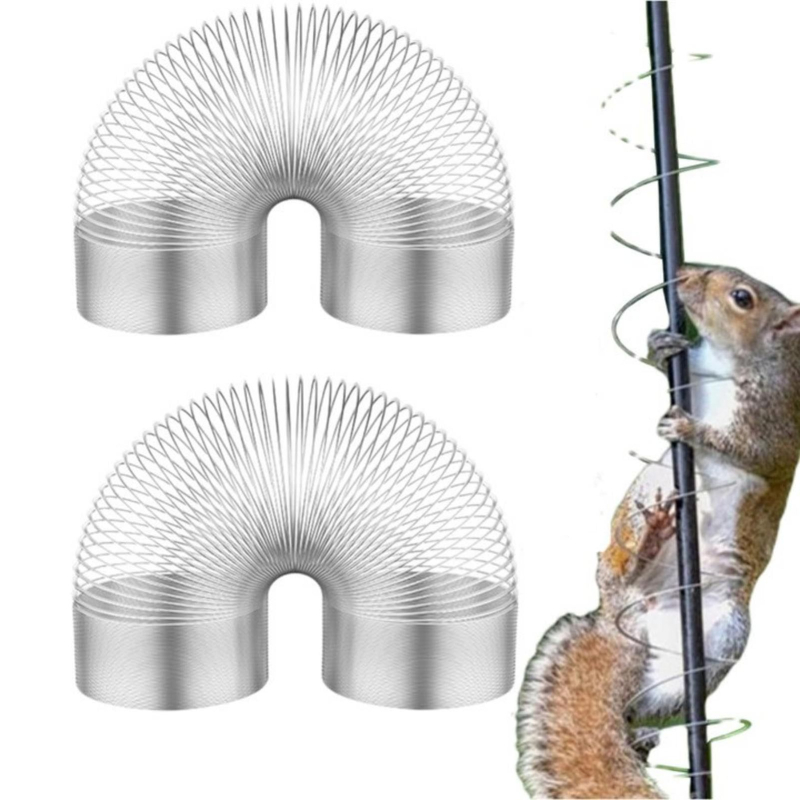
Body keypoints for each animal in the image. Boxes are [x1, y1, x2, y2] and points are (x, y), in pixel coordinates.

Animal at [517, 265, 800, 799]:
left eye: (742, 297)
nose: (686, 273)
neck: (726, 360)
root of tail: (619, 614)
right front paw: (659, 344)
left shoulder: (776, 422)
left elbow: (748, 450)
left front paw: (692, 430)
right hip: (636, 512)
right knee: (625, 566)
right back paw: (648, 543)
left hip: (720, 639)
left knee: (653, 705)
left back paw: (644, 727)